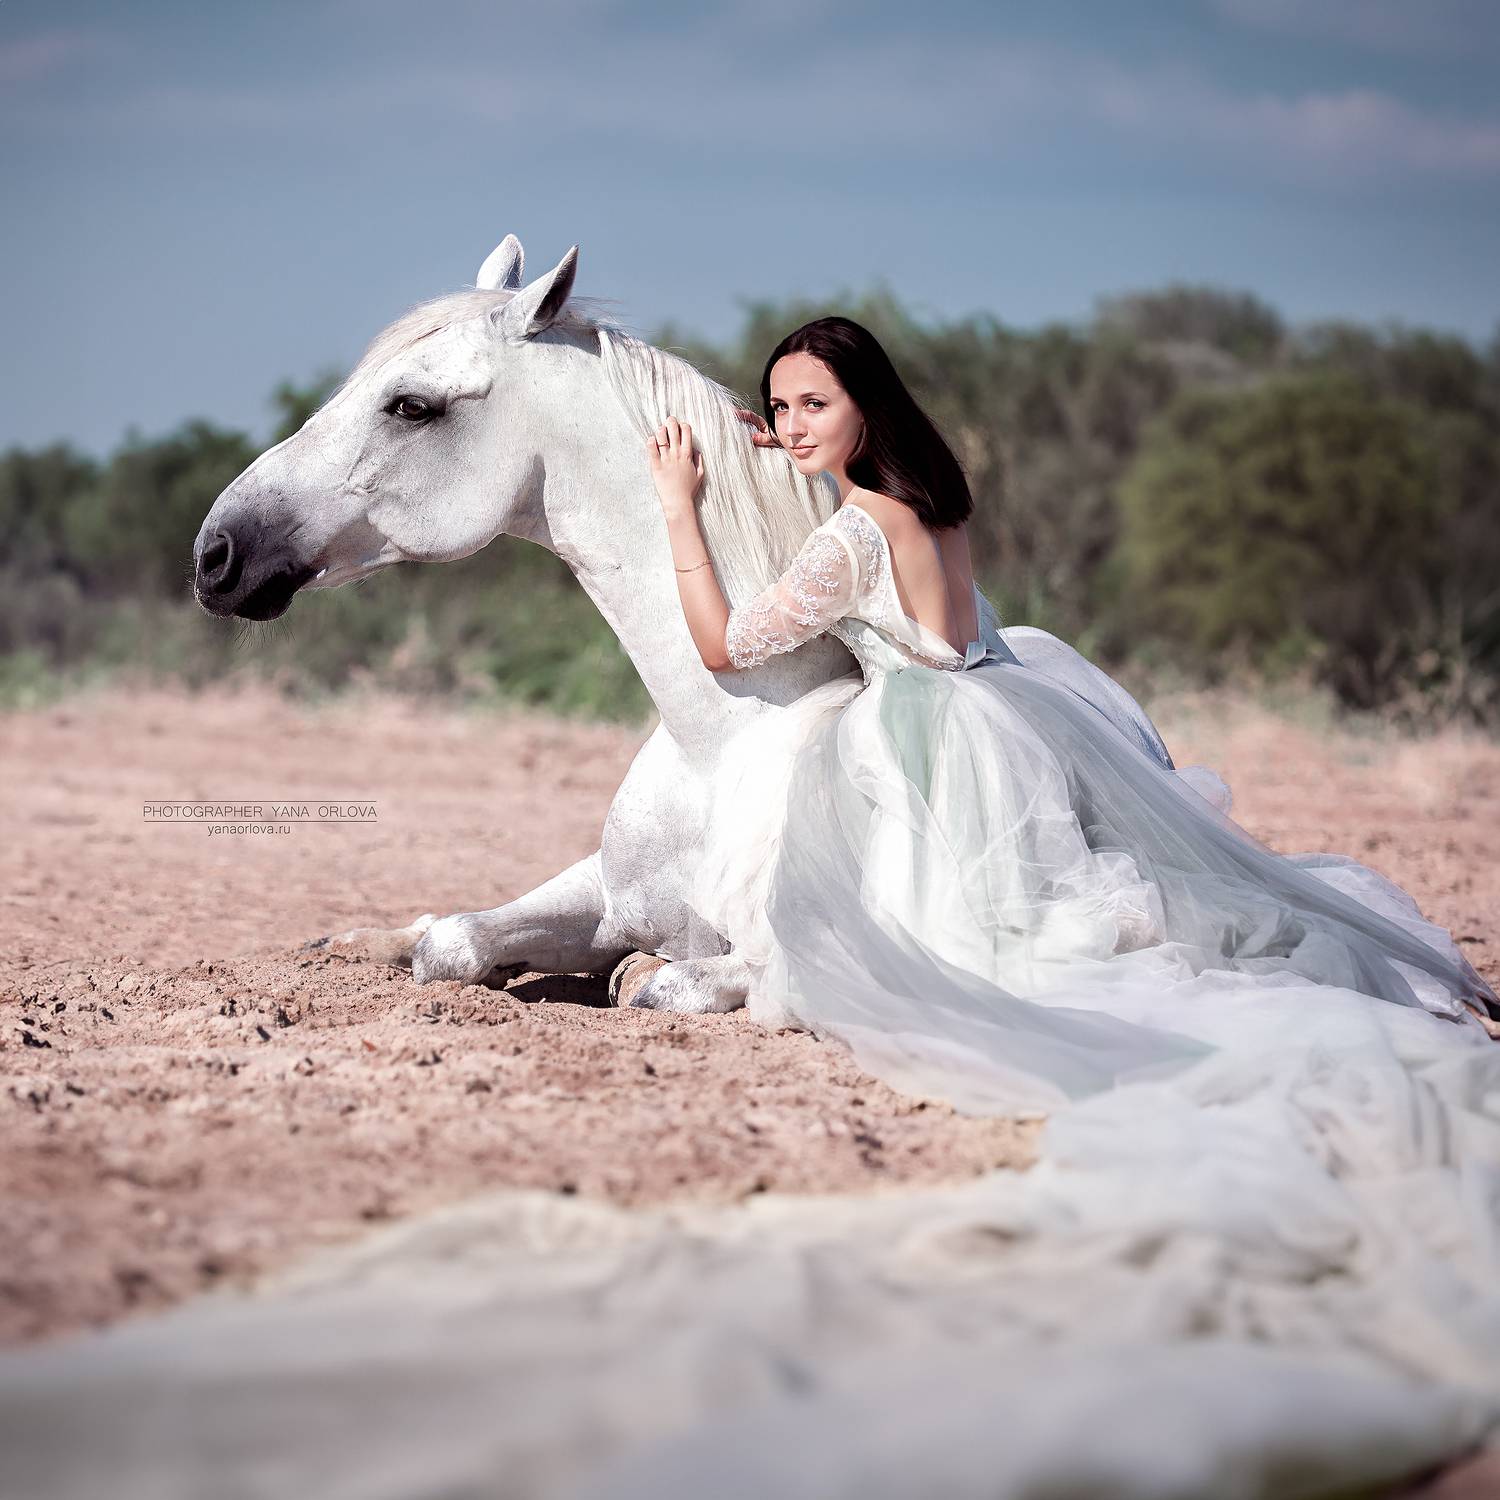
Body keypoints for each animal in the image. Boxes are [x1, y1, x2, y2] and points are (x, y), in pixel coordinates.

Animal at [191, 234, 1176, 1015]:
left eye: (411, 405)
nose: (216, 553)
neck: (725, 743)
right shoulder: (603, 887)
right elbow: (456, 941)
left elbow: (678, 981)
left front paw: (635, 973)